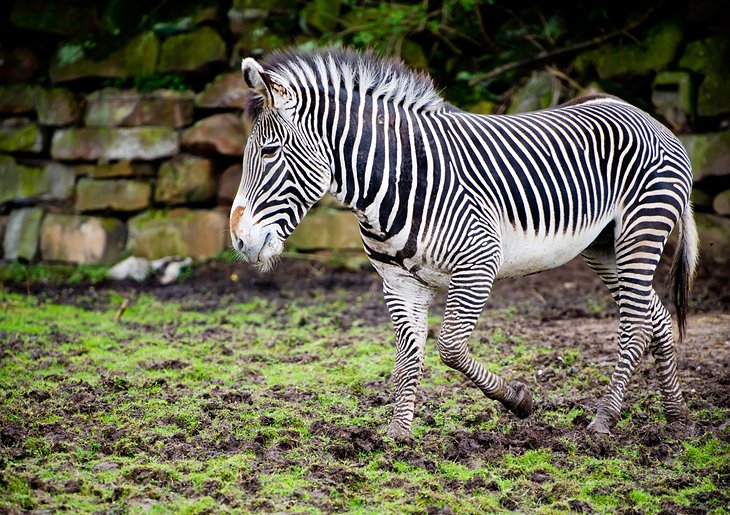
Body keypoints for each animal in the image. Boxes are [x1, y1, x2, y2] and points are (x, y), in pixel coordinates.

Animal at [230, 48, 696, 442]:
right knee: (654, 315)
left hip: (641, 229)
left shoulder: (477, 264)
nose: (238, 240)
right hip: (603, 246)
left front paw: (518, 400)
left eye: (269, 151)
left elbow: (450, 347)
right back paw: (675, 418)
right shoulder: (399, 282)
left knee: (634, 324)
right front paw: (398, 435)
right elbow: (408, 355)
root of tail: (645, 115)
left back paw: (604, 419)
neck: (399, 179)